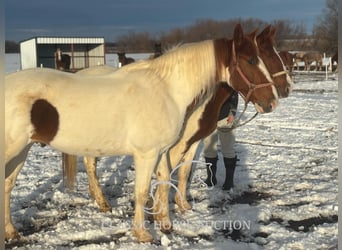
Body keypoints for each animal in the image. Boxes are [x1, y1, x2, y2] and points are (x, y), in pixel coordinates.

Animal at [4, 23, 278, 242]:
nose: (272, 101)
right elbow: (142, 190)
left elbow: (165, 180)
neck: (167, 90)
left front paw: (164, 222)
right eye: (251, 60)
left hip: (22, 152)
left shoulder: (162, 151)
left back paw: (10, 231)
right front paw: (143, 233)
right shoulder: (147, 153)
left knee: (6, 185)